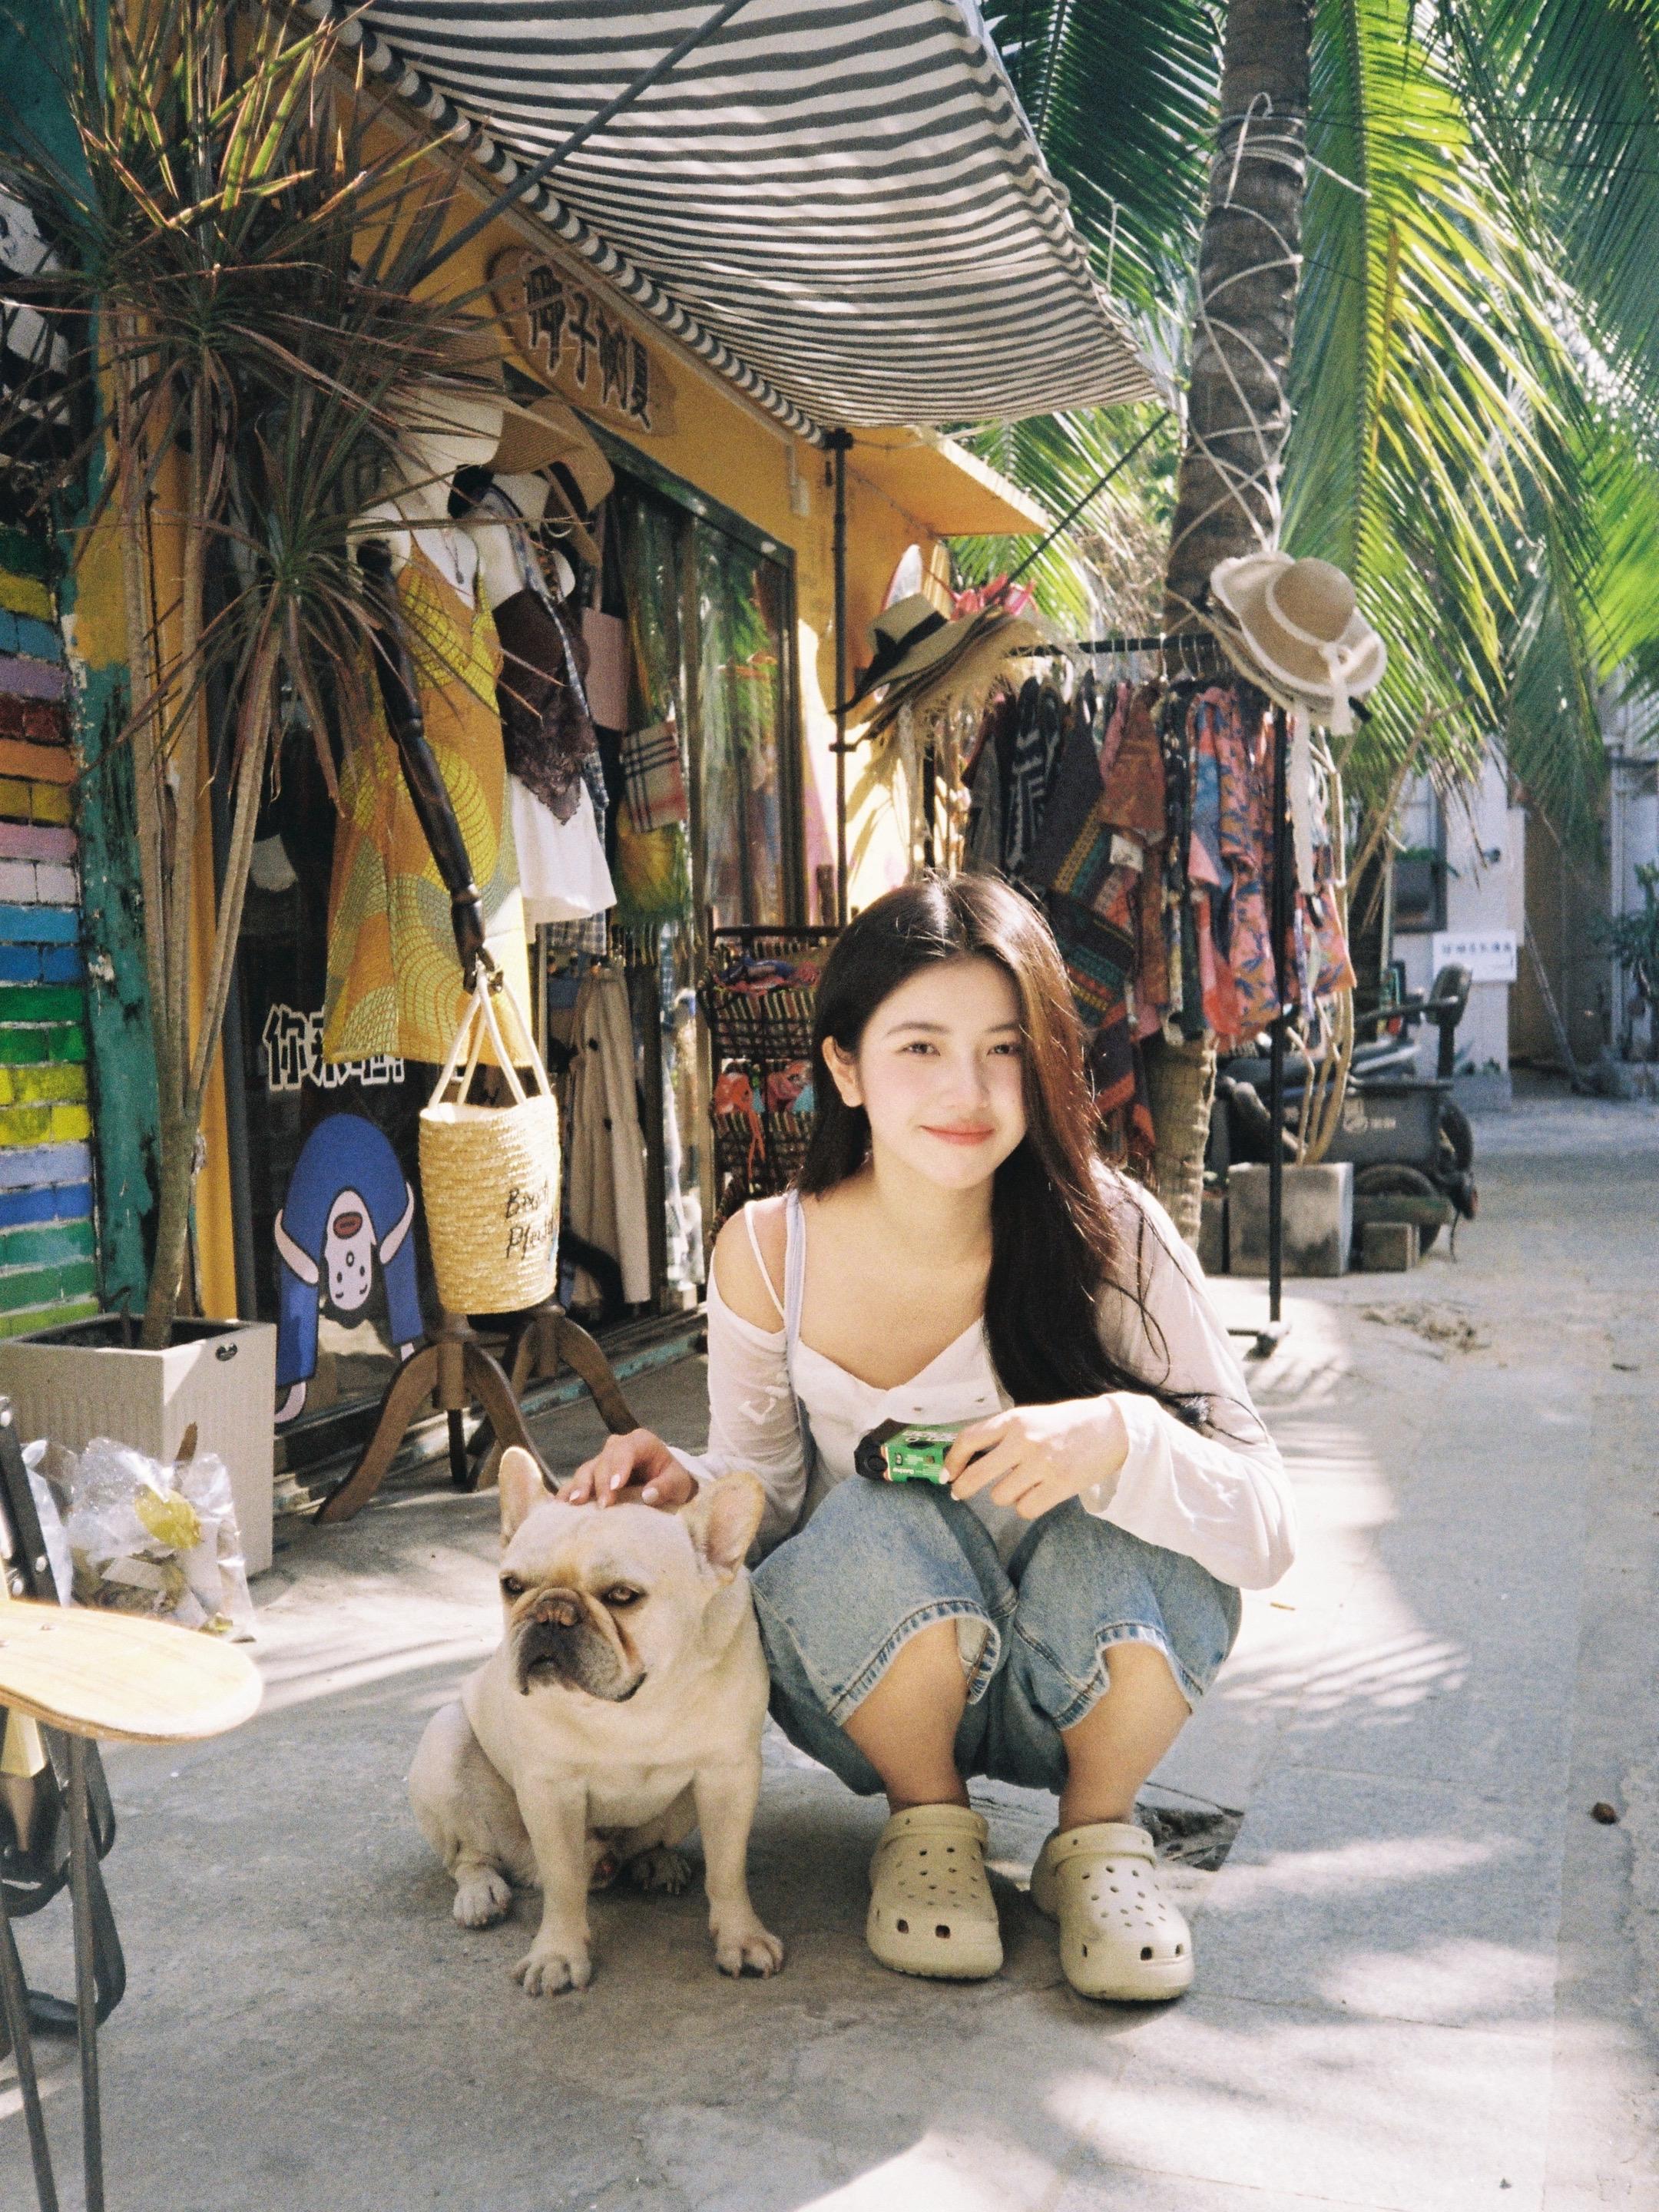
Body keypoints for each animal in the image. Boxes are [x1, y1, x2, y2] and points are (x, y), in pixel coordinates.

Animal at [409, 1446, 783, 1994]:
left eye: (623, 1596)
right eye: (511, 1586)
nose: (552, 1614)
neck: (634, 1705)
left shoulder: (728, 1775)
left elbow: (728, 1869)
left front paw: (741, 1936)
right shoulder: (551, 1789)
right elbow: (563, 1883)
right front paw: (557, 1955)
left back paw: (656, 1861)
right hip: (444, 1743)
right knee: (470, 1856)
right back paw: (480, 1894)